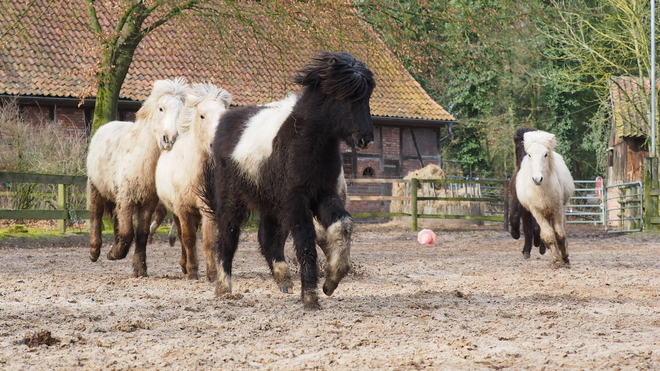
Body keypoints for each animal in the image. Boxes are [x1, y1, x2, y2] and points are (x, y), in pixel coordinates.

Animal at [86, 77, 187, 278]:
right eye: (161, 108)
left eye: (181, 110)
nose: (170, 138)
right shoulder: (127, 199)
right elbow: (127, 232)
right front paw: (116, 254)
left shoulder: (147, 203)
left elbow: (141, 234)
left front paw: (139, 268)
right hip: (96, 189)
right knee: (96, 216)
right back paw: (95, 251)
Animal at [155, 83, 232, 282]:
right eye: (202, 115)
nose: (216, 145)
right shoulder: (182, 209)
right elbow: (188, 239)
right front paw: (192, 271)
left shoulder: (208, 209)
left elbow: (208, 241)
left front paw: (212, 274)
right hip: (176, 211)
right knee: (182, 237)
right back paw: (184, 266)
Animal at [204, 50, 374, 310]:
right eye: (343, 96)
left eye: (366, 97)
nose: (365, 139)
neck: (304, 141)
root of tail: (223, 123)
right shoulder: (296, 199)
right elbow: (305, 242)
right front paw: (311, 296)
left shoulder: (323, 194)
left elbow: (342, 224)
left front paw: (331, 281)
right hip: (232, 200)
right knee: (227, 238)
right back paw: (224, 289)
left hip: (272, 204)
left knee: (267, 238)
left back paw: (283, 279)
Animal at [516, 131, 572, 268]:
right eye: (530, 154)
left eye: (545, 154)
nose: (537, 179)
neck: (542, 191)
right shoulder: (537, 212)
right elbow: (549, 235)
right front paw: (556, 260)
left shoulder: (557, 210)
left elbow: (560, 235)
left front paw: (565, 257)